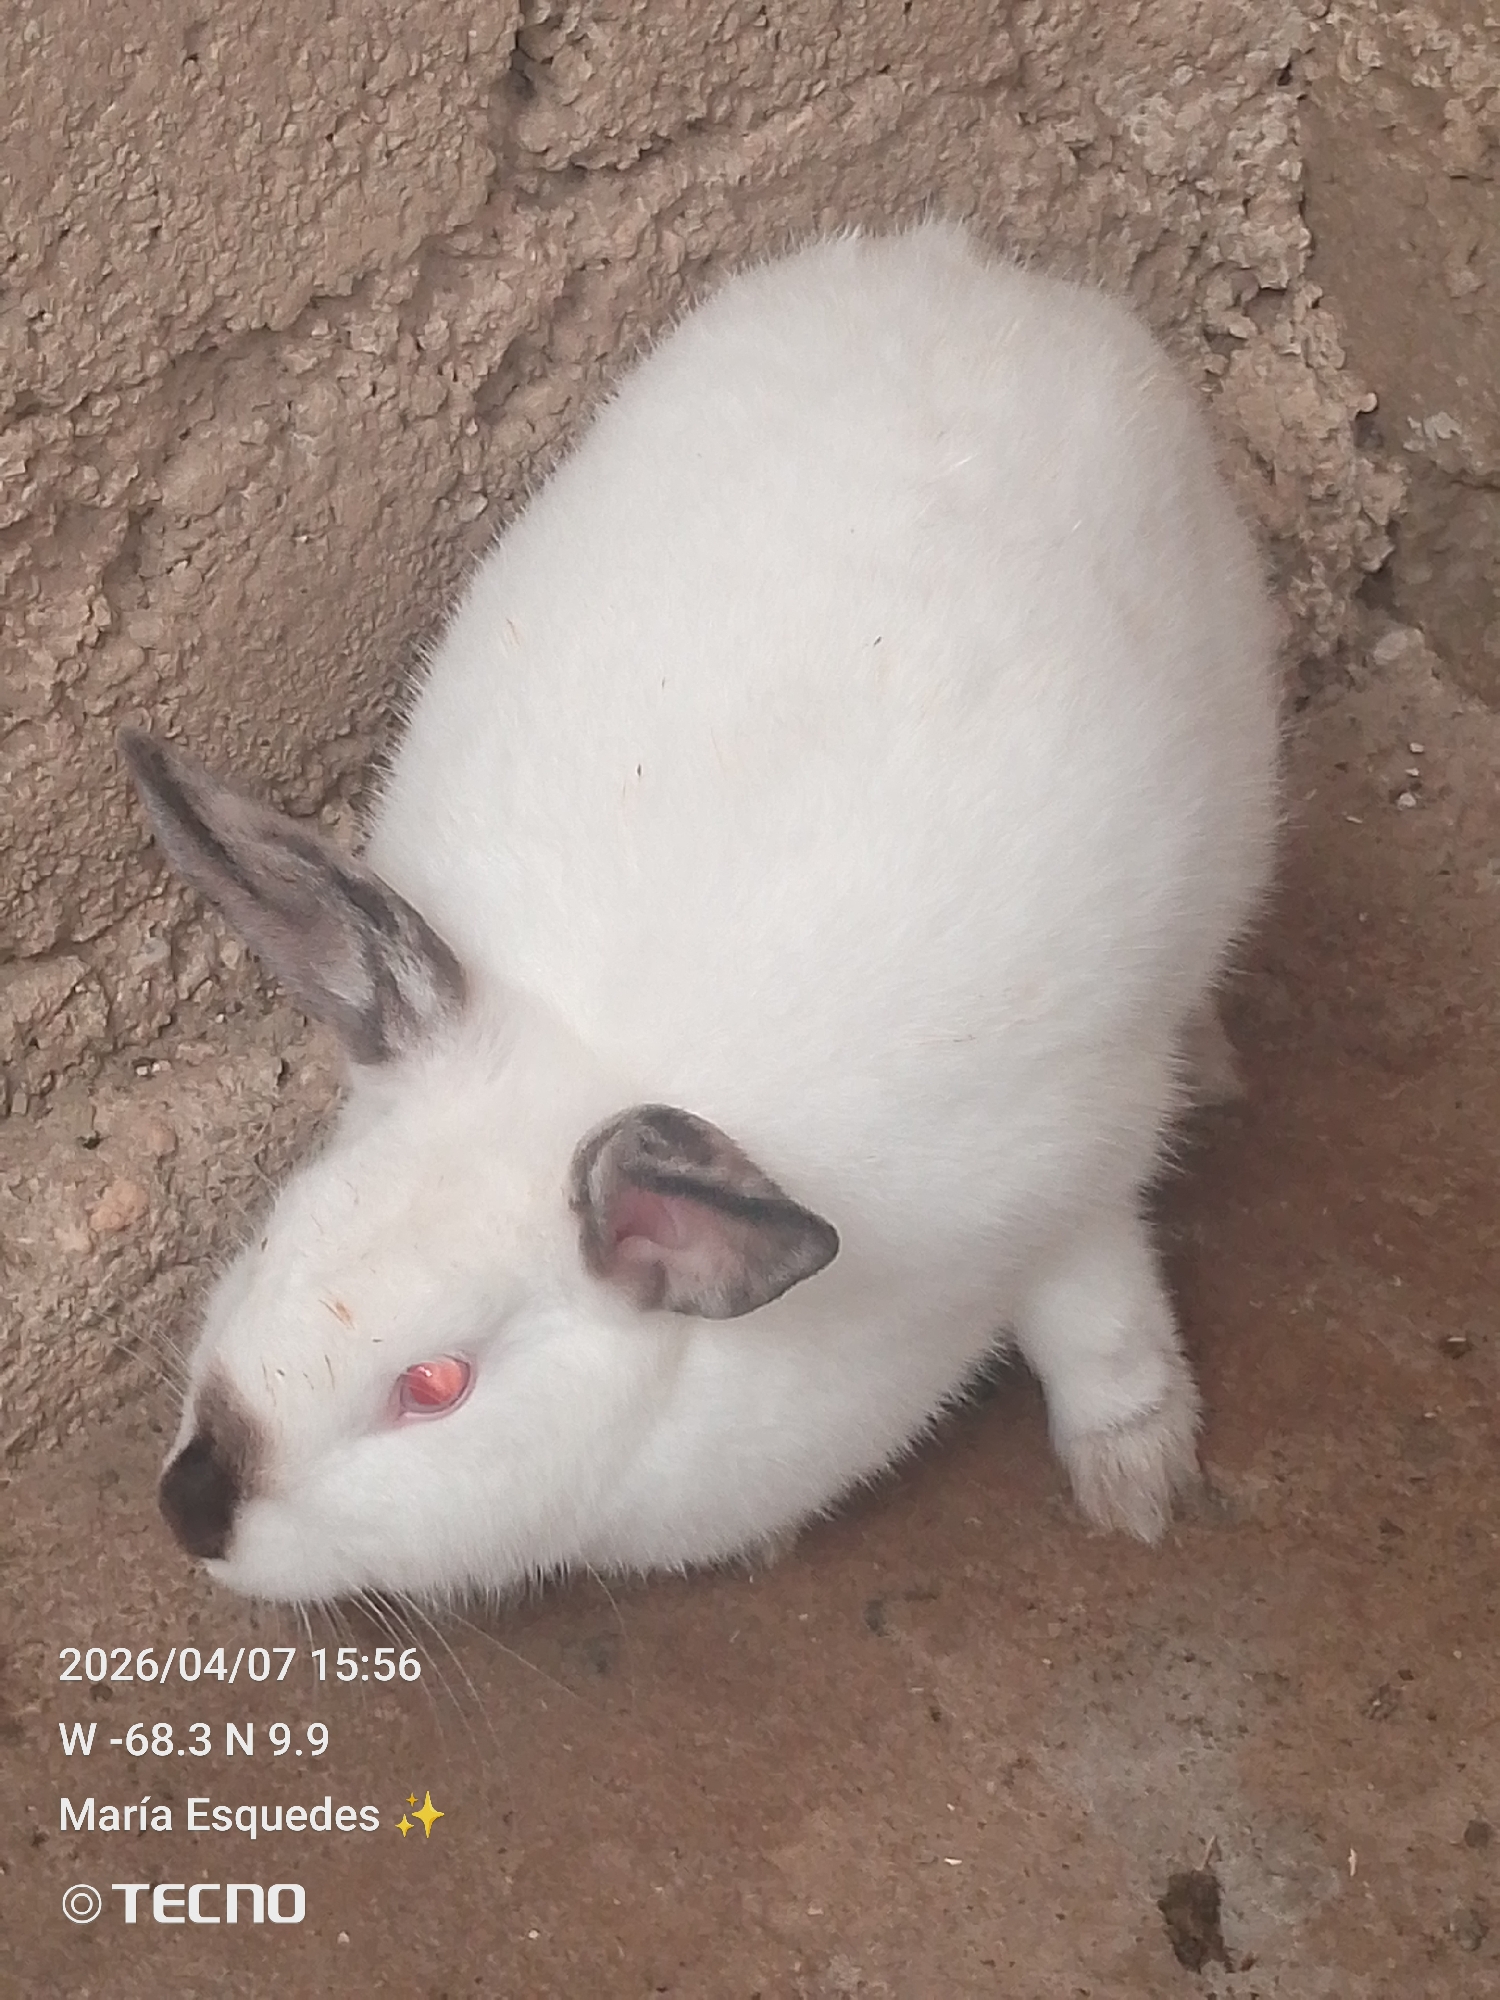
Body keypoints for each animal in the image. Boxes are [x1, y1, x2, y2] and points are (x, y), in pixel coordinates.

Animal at [122, 221, 1279, 1607]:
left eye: (435, 1385)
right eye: (280, 1232)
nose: (193, 1508)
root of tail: (986, 277)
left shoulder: (1073, 1184)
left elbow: (1099, 1324)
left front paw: (1139, 1483)